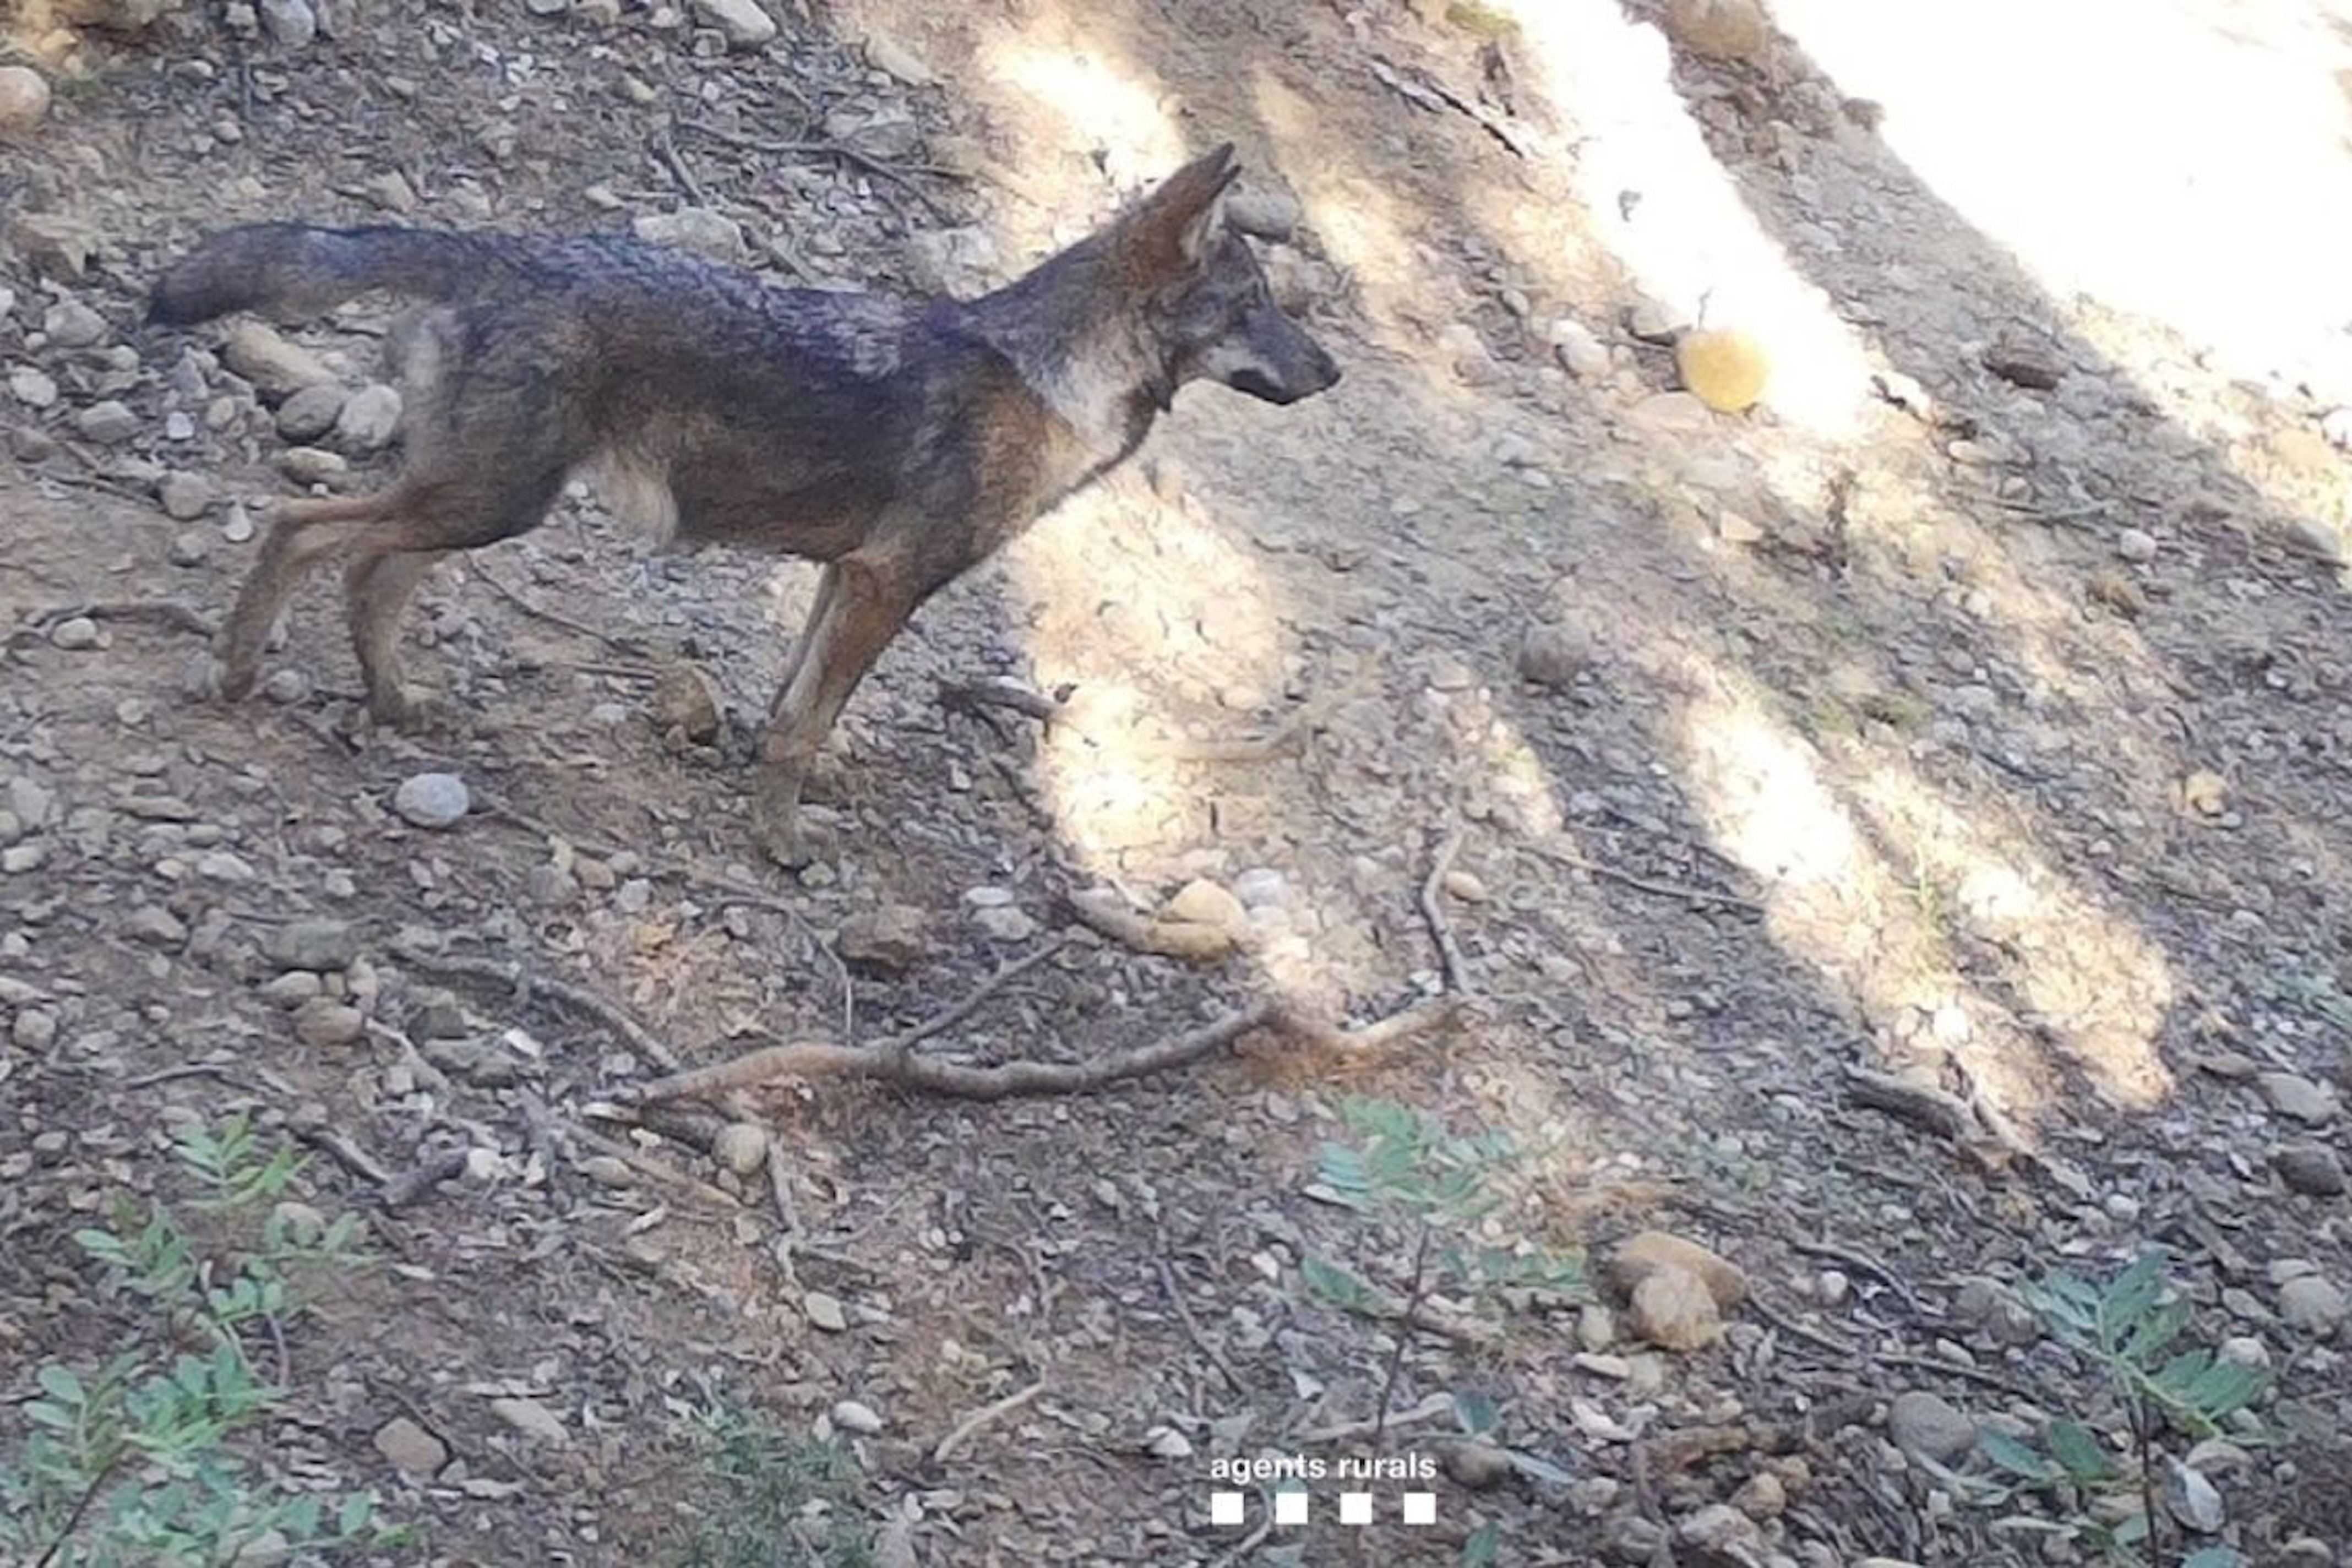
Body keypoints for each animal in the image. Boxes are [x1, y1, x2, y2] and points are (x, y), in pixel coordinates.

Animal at [148, 143, 1340, 864]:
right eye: (1254, 307)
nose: (1332, 372)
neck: (1053, 381)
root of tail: (499, 249)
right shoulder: (885, 583)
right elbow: (805, 728)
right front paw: (780, 843)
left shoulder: (841, 577)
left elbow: (790, 706)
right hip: (486, 504)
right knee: (303, 529)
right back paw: (242, 673)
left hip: (478, 505)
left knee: (366, 570)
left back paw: (394, 701)